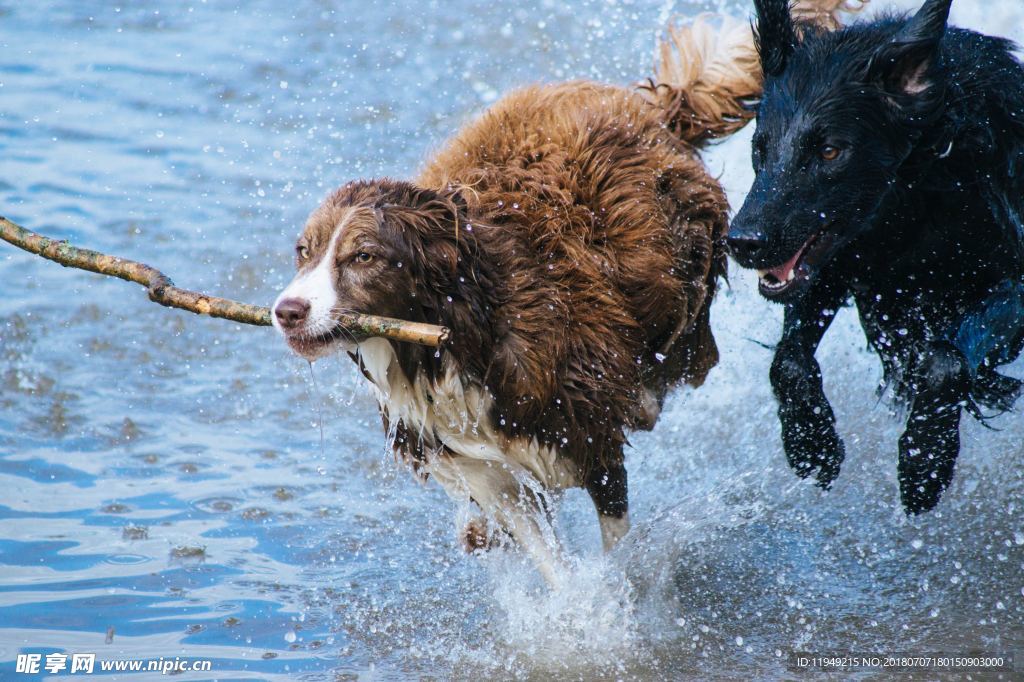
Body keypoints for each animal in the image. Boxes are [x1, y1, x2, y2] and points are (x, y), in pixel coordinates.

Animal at [270, 1, 856, 585]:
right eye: (303, 251)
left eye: (363, 257)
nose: (287, 311)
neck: (456, 334)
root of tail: (653, 107)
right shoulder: (485, 467)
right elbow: (543, 552)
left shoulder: (589, 436)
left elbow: (613, 542)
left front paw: (615, 597)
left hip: (685, 283)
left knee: (684, 349)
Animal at [729, 0, 1024, 509]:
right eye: (759, 147)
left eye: (830, 151)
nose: (744, 241)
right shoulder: (837, 263)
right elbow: (788, 361)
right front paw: (812, 444)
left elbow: (944, 361)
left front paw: (925, 459)